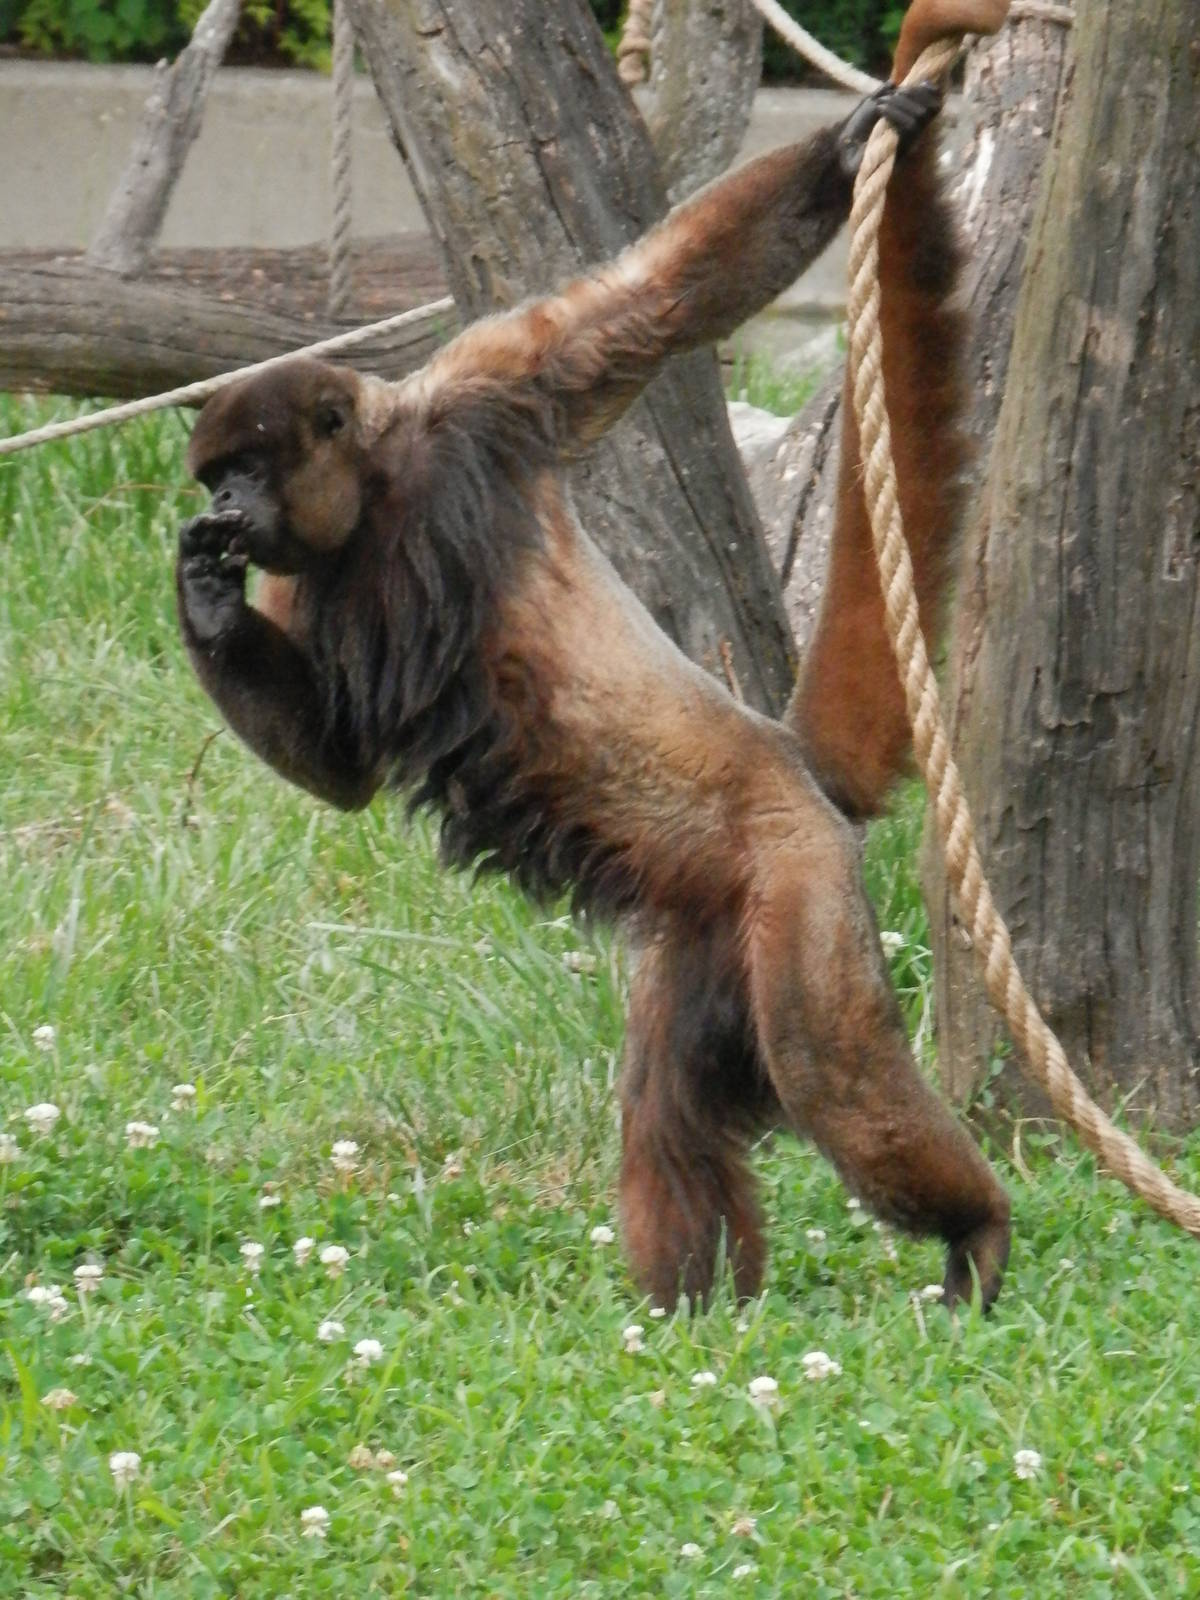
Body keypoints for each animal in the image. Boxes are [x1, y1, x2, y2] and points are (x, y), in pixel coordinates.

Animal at [177, 0, 1013, 1312]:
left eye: (248, 467)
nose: (220, 508)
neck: (387, 493)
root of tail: (794, 766)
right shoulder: (300, 569)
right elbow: (342, 765)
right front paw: (201, 601)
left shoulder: (481, 397)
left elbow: (651, 301)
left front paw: (845, 149)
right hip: (709, 934)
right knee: (671, 1101)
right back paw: (689, 1312)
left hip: (796, 879)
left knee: (824, 1058)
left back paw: (972, 1222)